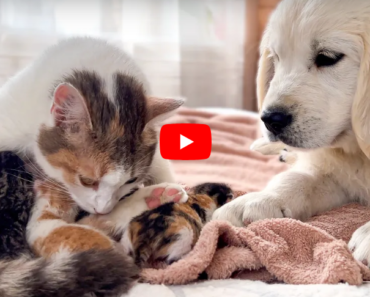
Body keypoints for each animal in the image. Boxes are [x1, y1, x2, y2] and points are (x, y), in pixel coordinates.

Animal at [214, 0, 370, 264]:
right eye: (276, 58)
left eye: (327, 57)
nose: (270, 120)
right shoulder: (337, 174)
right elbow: (298, 178)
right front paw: (261, 198)